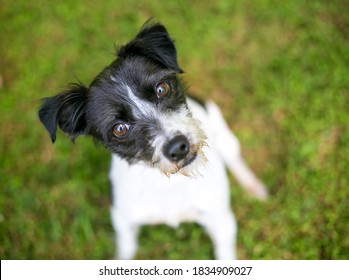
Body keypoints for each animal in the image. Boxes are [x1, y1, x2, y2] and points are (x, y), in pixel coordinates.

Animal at [38, 21, 266, 260]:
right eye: (120, 129)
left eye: (162, 88)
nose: (178, 148)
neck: (168, 182)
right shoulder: (124, 224)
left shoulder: (221, 220)